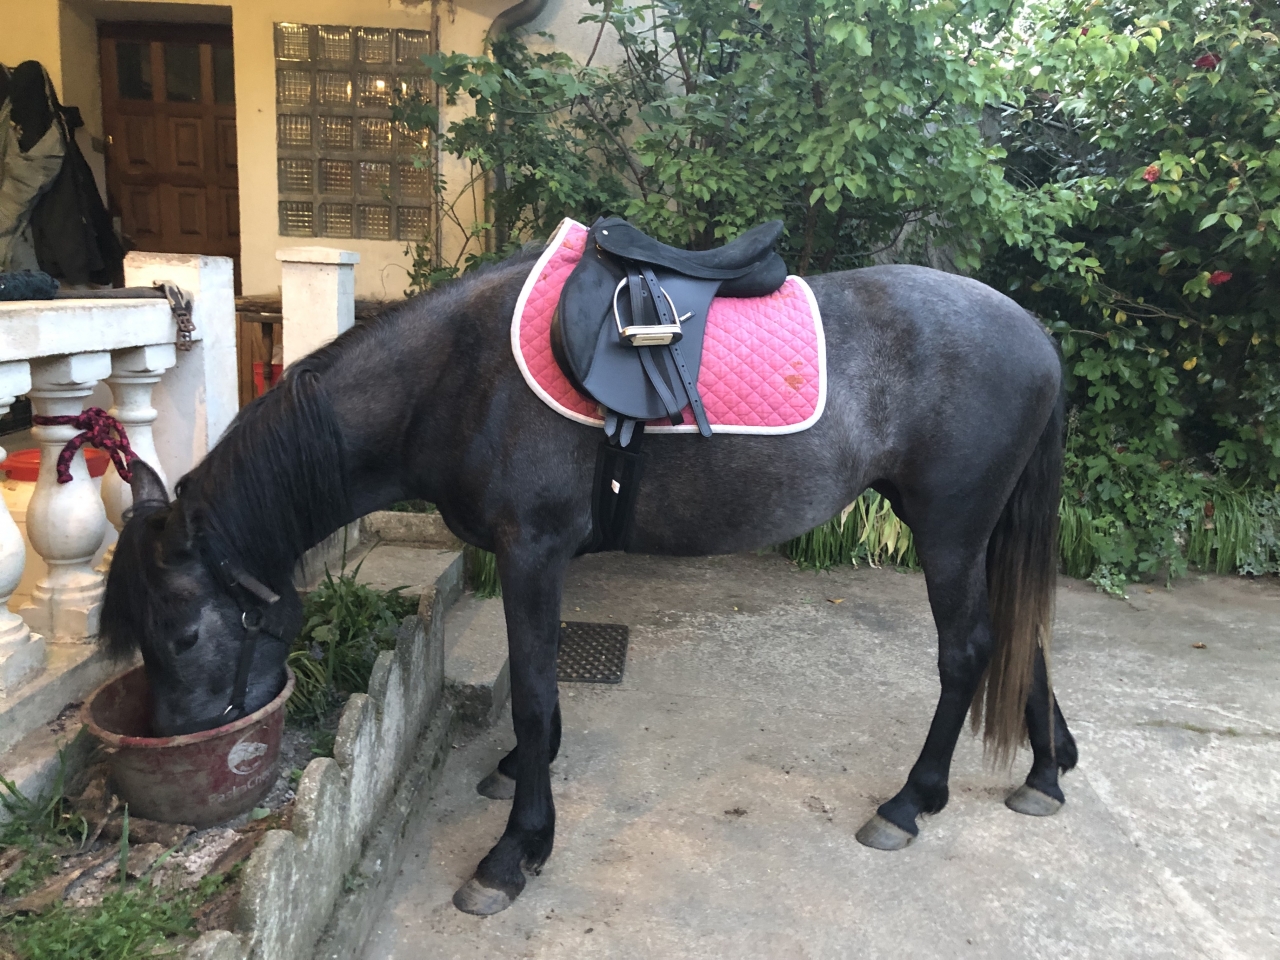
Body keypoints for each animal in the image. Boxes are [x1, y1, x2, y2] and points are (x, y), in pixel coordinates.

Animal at [100, 246, 1077, 916]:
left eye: (183, 633)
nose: (175, 773)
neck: (455, 380)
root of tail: (1037, 334)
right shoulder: (532, 558)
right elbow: (544, 687)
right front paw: (518, 776)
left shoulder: (530, 550)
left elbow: (533, 693)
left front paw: (515, 851)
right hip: (973, 531)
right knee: (1018, 638)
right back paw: (1046, 768)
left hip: (948, 531)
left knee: (968, 652)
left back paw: (912, 800)